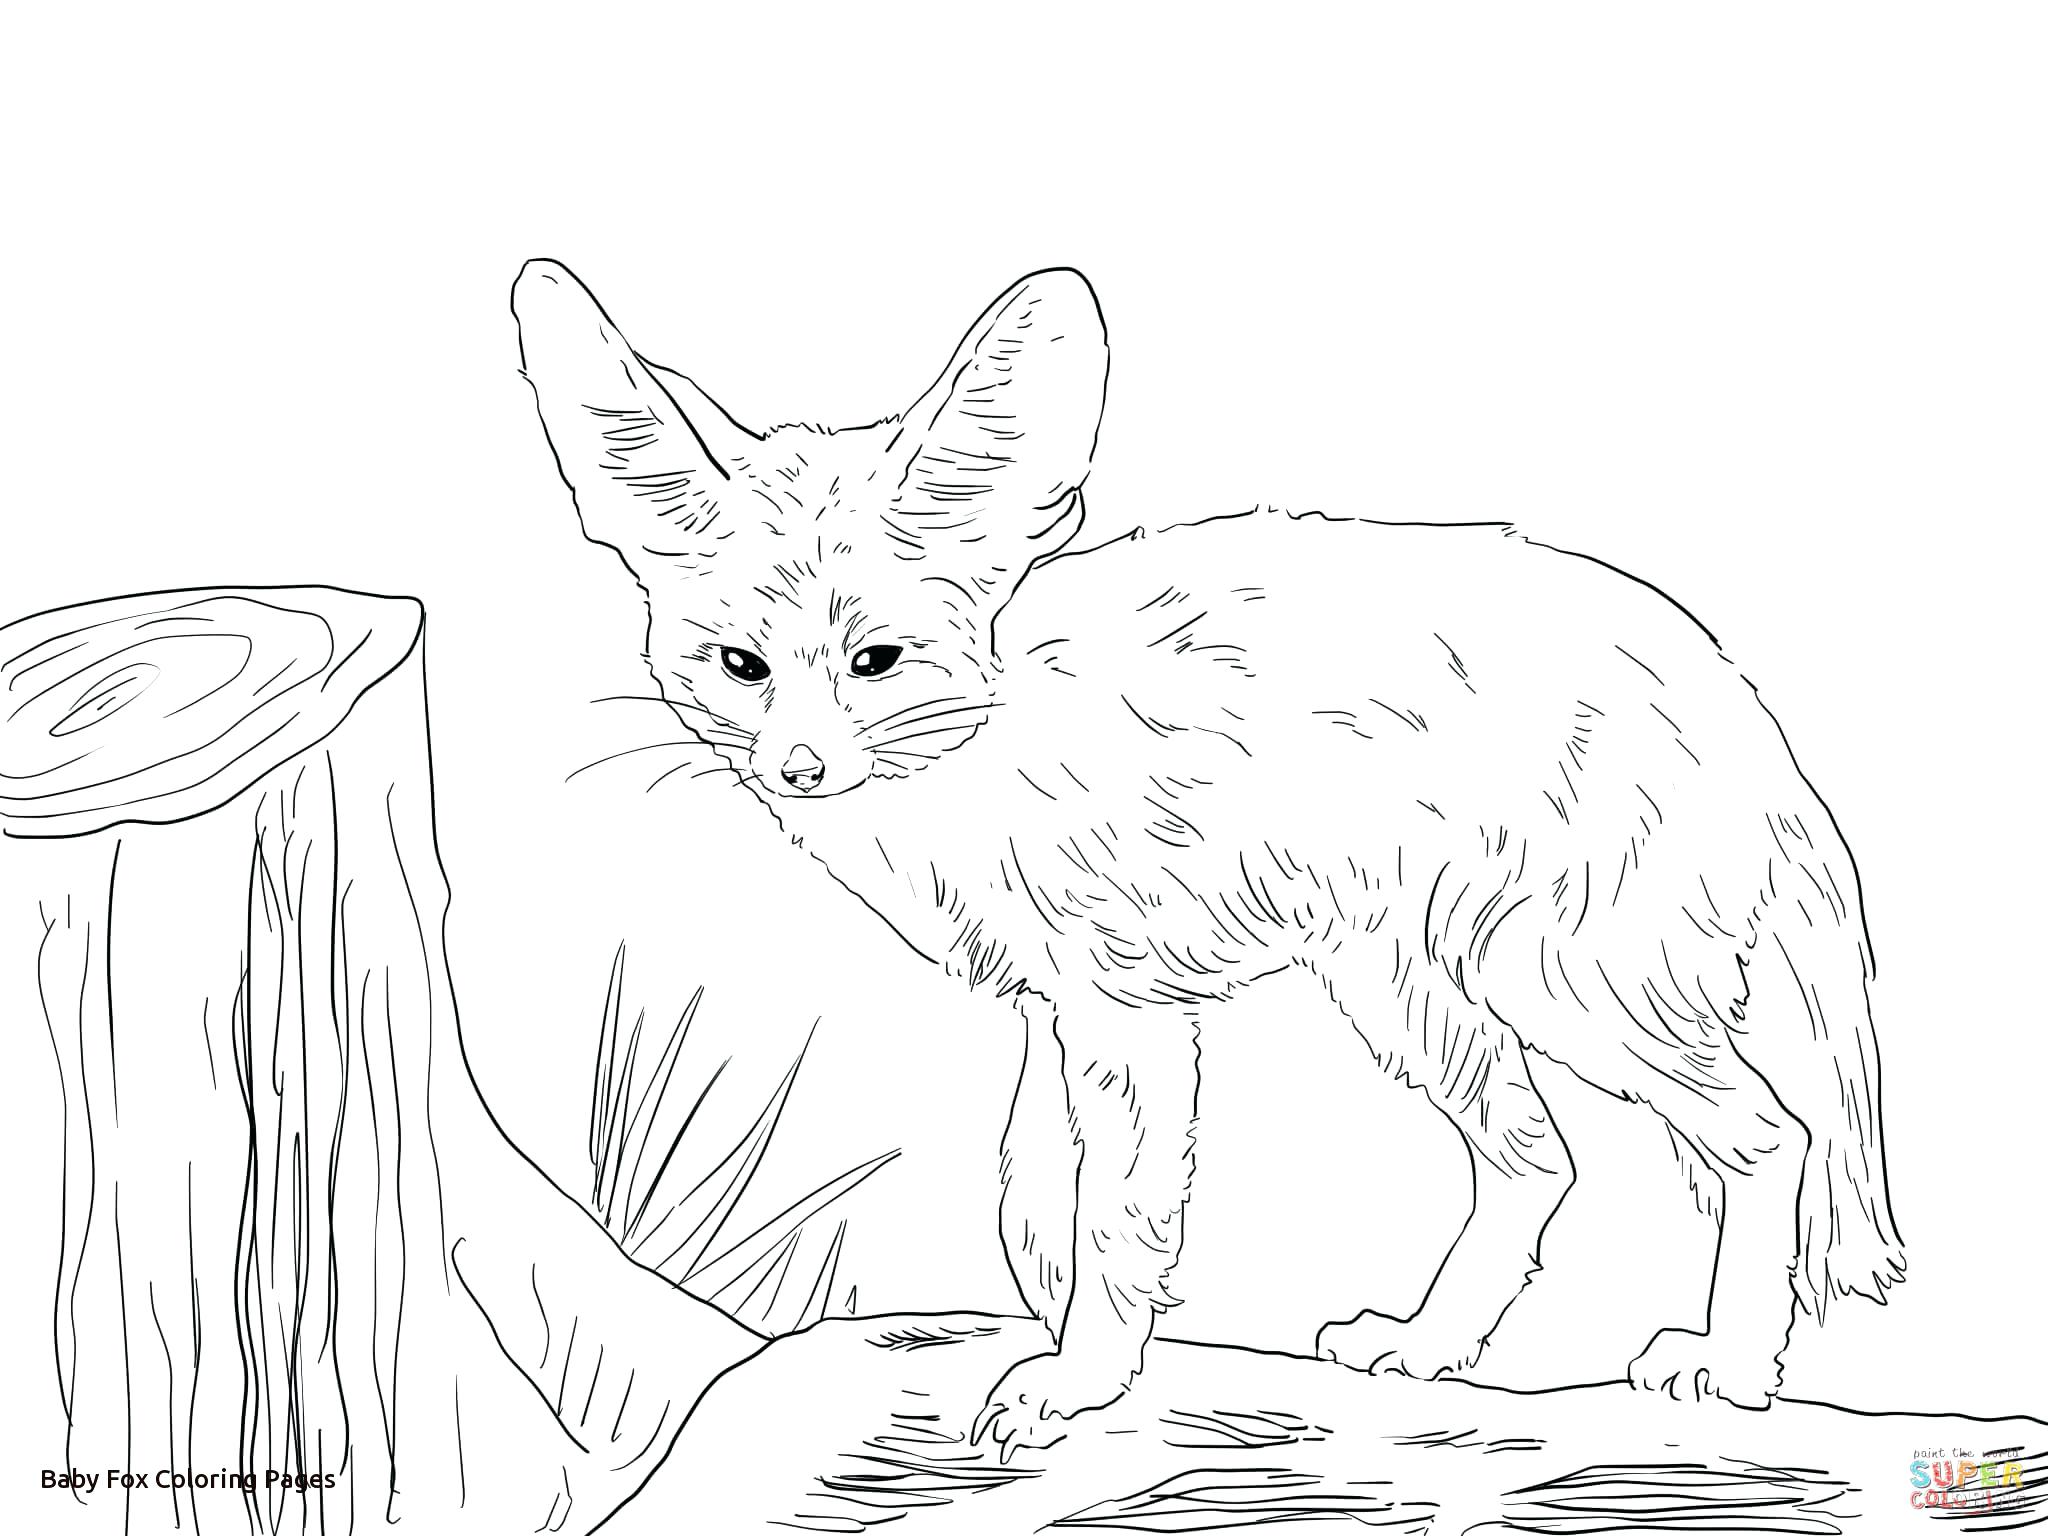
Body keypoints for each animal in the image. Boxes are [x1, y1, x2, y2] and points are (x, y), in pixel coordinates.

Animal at [510, 259, 1904, 1453]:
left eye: (877, 661)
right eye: (739, 666)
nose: (796, 769)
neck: (986, 751)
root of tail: (1729, 695)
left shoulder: (1124, 1010)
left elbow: (1114, 1210)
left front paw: (1078, 1379)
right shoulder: (1057, 1005)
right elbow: (1032, 1194)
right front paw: (1072, 1337)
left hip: (1567, 990)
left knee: (1768, 1137)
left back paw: (1730, 1368)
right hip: (1411, 998)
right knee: (1537, 1155)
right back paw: (1431, 1343)